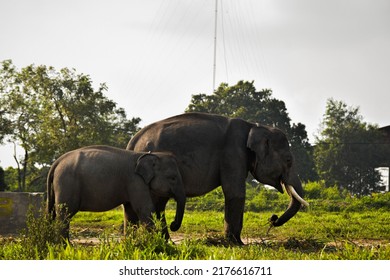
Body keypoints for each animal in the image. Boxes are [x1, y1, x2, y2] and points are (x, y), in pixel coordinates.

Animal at [45, 145, 186, 240]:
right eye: (173, 178)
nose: (173, 225)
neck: (147, 154)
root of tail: (56, 162)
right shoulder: (135, 181)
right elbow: (144, 209)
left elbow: (131, 213)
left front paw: (130, 245)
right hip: (67, 184)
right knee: (65, 214)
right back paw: (65, 247)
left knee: (55, 213)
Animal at [127, 112, 308, 244]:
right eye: (289, 160)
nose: (273, 219)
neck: (254, 126)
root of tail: (133, 141)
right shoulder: (233, 153)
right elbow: (235, 193)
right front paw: (237, 244)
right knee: (156, 202)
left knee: (156, 204)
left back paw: (158, 241)